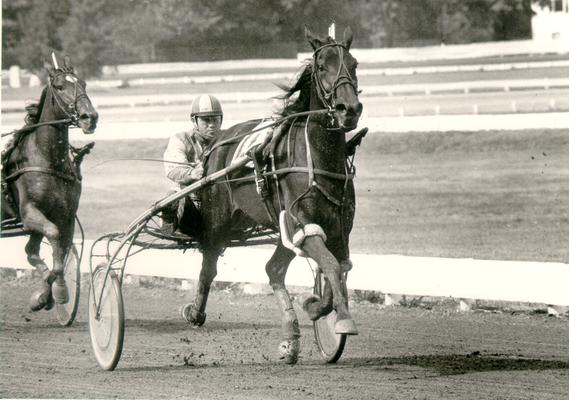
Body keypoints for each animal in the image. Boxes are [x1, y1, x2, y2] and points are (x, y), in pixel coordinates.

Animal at [0, 54, 98, 312]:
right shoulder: (29, 213)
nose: (90, 117)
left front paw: (49, 294)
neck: (47, 160)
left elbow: (55, 253)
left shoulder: (65, 215)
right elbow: (53, 237)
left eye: (84, 83)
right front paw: (54, 293)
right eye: (60, 86)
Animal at [180, 26, 362, 364]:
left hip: (279, 228)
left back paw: (290, 339)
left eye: (354, 64)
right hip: (218, 220)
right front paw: (340, 319)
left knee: (274, 269)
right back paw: (195, 312)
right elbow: (331, 266)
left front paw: (317, 308)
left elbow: (339, 268)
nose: (349, 109)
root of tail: (217, 142)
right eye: (321, 66)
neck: (316, 157)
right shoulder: (302, 223)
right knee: (209, 264)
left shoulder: (338, 229)